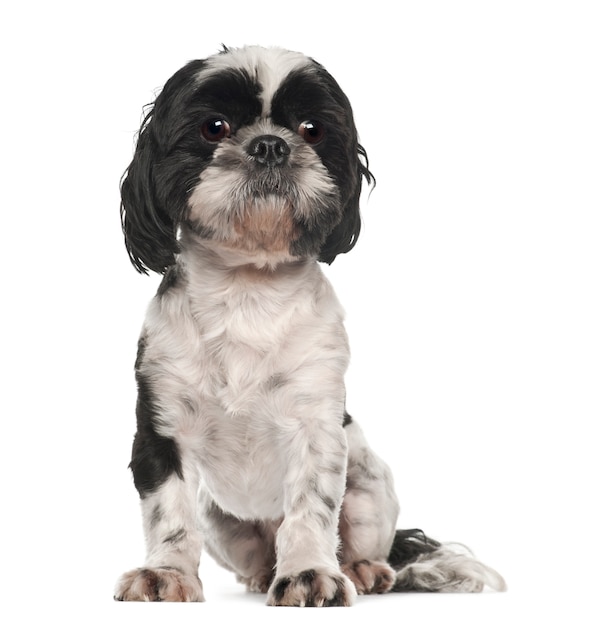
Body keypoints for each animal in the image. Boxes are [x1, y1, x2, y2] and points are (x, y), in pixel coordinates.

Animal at [117, 45, 508, 604]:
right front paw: (166, 573)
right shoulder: (161, 425)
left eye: (312, 130)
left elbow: (310, 509)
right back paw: (262, 575)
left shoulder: (317, 425)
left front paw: (307, 573)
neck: (248, 293)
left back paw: (364, 570)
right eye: (214, 127)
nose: (269, 145)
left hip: (368, 487)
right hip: (222, 524)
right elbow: (168, 513)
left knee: (360, 540)